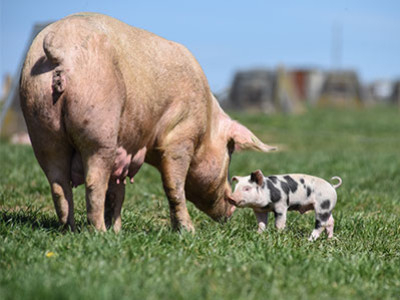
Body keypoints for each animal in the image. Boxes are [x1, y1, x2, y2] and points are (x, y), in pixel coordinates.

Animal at [19, 12, 276, 233]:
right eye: (230, 151)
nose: (232, 204)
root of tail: (59, 47)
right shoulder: (181, 133)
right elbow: (174, 186)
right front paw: (188, 231)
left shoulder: (125, 151)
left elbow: (118, 192)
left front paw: (118, 231)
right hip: (98, 122)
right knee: (93, 182)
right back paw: (98, 232)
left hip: (41, 126)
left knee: (58, 184)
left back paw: (70, 230)